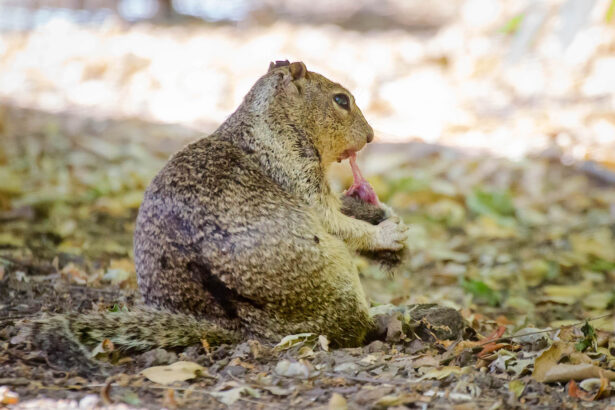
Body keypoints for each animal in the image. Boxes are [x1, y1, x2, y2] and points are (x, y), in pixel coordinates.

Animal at [21, 60, 412, 366]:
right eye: (341, 99)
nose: (371, 136)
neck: (273, 122)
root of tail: (232, 326)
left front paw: (379, 214)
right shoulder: (297, 175)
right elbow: (335, 222)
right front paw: (386, 233)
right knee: (348, 330)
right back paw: (383, 319)